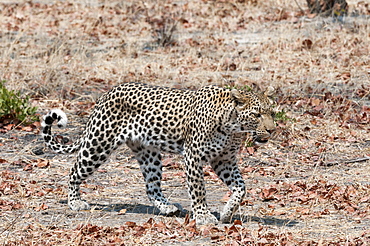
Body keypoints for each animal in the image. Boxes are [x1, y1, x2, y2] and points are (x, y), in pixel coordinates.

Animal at [42, 82, 276, 225]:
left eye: (272, 113)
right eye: (257, 114)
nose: (272, 130)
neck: (232, 127)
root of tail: (105, 95)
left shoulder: (224, 160)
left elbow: (241, 188)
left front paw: (227, 213)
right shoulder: (193, 156)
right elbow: (199, 190)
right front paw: (203, 216)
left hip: (148, 154)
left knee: (151, 187)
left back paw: (167, 207)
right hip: (99, 144)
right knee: (74, 171)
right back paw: (75, 202)